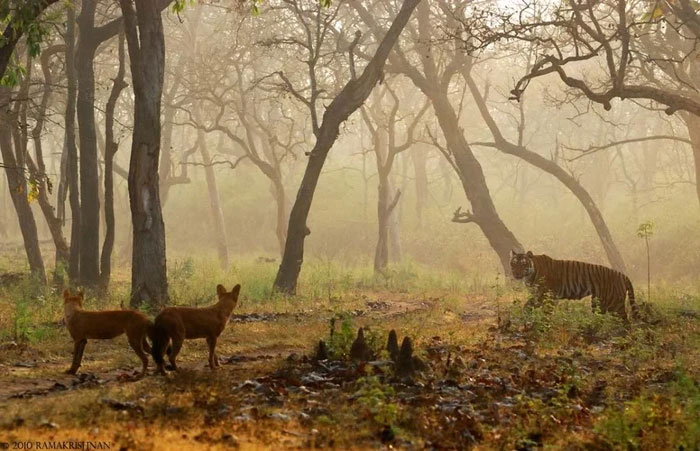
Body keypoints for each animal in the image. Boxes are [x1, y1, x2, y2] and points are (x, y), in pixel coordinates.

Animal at [509, 250, 637, 321]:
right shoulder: (537, 295)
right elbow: (527, 306)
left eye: (523, 264)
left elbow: (546, 312)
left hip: (615, 304)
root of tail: (623, 275)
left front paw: (544, 324)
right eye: (514, 263)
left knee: (625, 322)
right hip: (599, 303)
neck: (530, 274)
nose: (516, 273)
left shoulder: (548, 296)